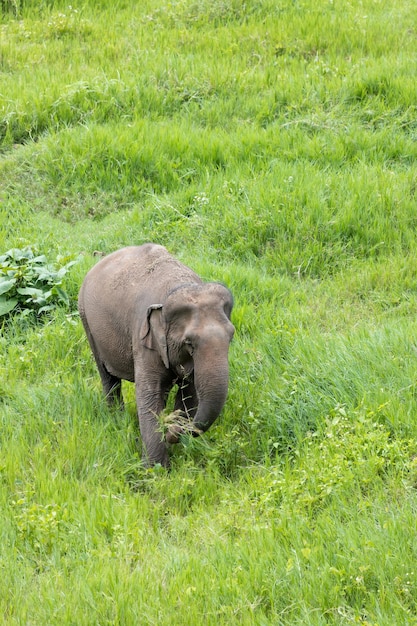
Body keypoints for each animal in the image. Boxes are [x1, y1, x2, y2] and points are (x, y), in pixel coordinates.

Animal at [78, 241, 234, 466]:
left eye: (231, 336)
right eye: (189, 343)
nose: (170, 427)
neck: (180, 286)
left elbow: (190, 394)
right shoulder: (144, 338)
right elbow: (148, 395)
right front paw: (156, 469)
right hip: (86, 320)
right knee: (107, 376)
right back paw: (117, 419)